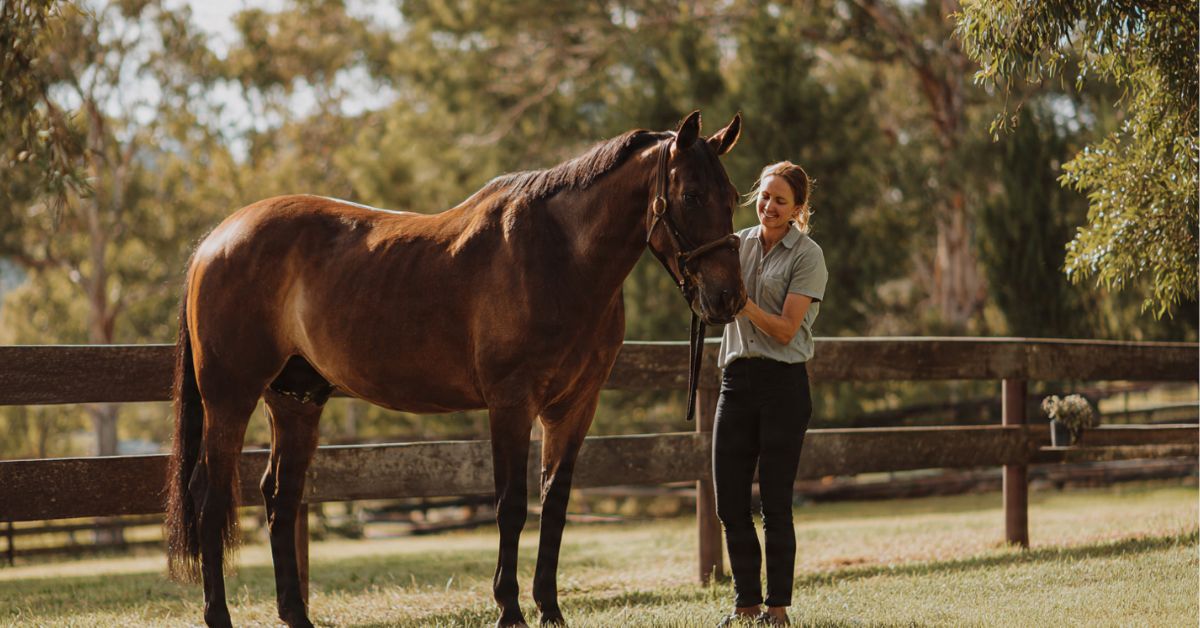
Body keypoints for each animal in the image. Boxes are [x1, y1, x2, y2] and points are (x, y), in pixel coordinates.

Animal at [164, 110, 747, 628]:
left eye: (732, 196)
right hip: (230, 398)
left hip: (294, 402)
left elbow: (554, 504)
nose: (728, 298)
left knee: (280, 498)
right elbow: (511, 505)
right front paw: (509, 610)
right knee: (209, 496)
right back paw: (218, 615)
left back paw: (296, 615)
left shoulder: (574, 408)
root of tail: (215, 240)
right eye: (692, 196)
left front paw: (550, 609)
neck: (558, 256)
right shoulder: (511, 404)